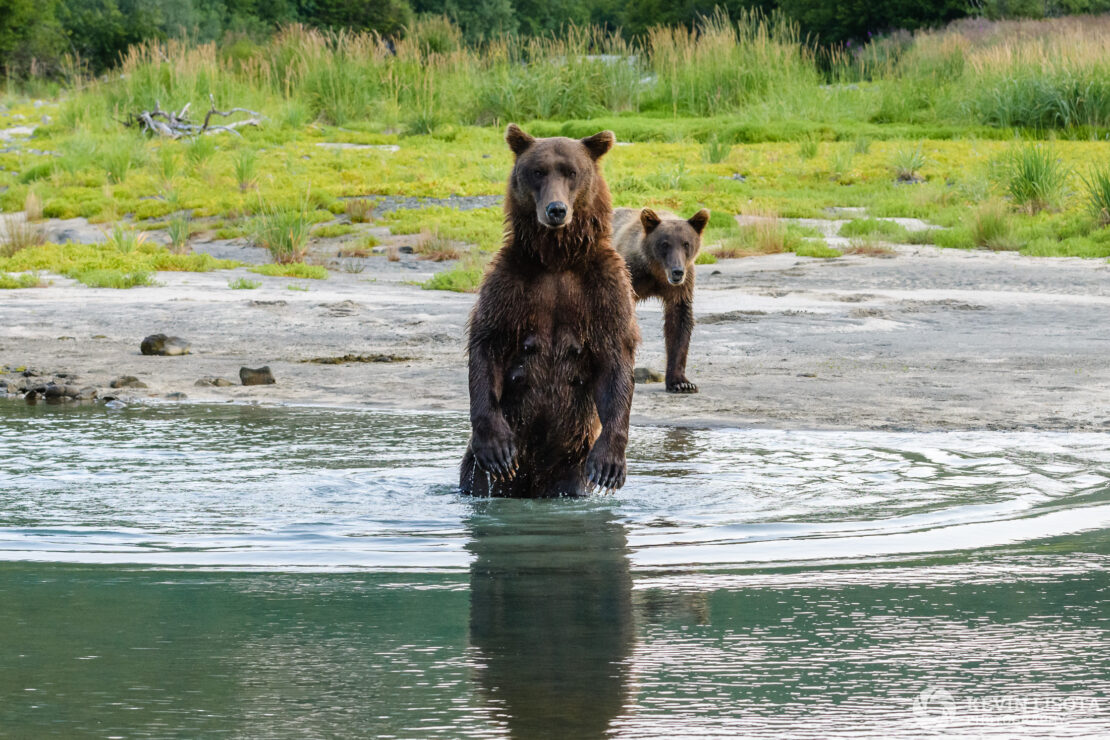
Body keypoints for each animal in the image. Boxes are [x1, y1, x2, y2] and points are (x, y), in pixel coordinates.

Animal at [455, 125, 639, 497]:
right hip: (487, 470)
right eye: (538, 172)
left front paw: (609, 465)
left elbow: (616, 358)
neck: (556, 259)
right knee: (479, 478)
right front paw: (496, 448)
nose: (556, 209)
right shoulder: (509, 283)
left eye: (571, 172)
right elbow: (487, 343)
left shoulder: (606, 289)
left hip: (571, 468)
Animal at [612, 207, 705, 392]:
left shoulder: (680, 288)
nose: (677, 271)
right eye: (664, 244)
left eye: (686, 243)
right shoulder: (631, 274)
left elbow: (679, 323)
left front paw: (682, 383)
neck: (655, 271)